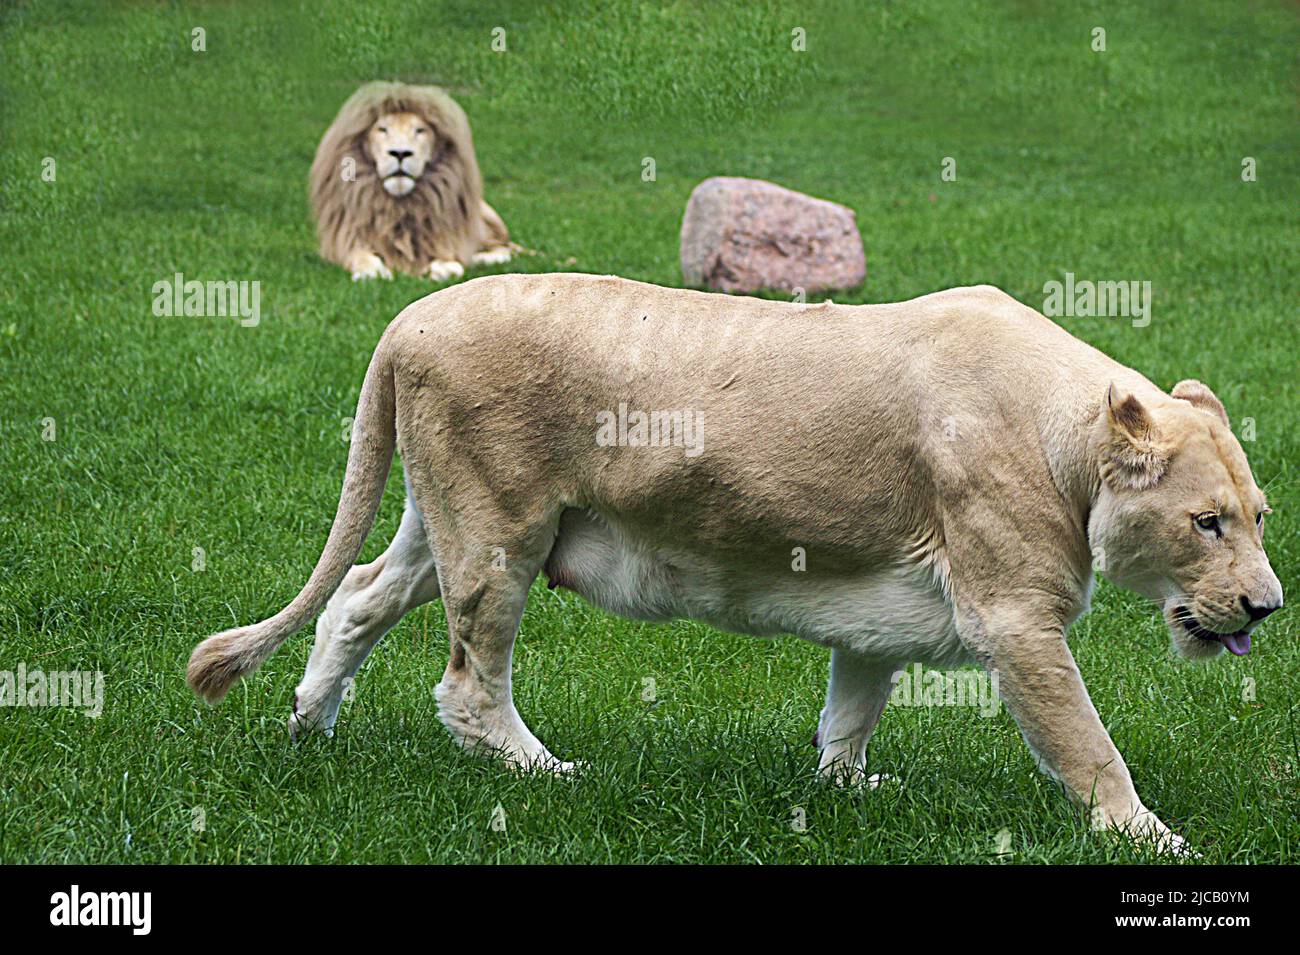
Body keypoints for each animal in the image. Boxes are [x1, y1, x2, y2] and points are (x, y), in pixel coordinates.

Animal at [188, 274, 1284, 852]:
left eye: (1260, 517)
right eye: (1208, 523)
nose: (1268, 606)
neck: (1069, 438)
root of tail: (407, 318)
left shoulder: (878, 609)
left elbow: (851, 710)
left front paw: (847, 793)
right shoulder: (1014, 617)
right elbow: (1088, 745)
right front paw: (1152, 839)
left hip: (448, 518)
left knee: (356, 598)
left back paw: (309, 728)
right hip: (501, 531)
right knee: (466, 683)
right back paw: (550, 773)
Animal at [309, 82, 512, 281]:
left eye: (420, 130)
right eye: (383, 129)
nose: (400, 153)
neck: (400, 207)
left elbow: (450, 261)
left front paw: (445, 267)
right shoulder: (346, 241)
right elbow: (361, 257)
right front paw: (372, 271)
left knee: (505, 247)